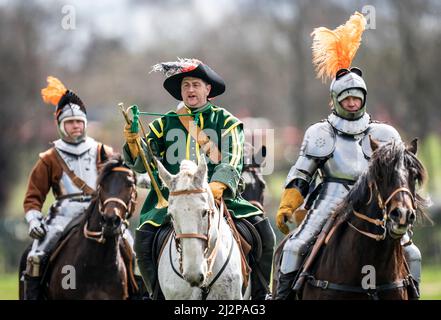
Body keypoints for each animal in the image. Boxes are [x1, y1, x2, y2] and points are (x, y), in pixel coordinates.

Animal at [19, 156, 137, 300]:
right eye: (102, 184)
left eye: (130, 184)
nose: (110, 221)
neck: (98, 263)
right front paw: (36, 227)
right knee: (36, 258)